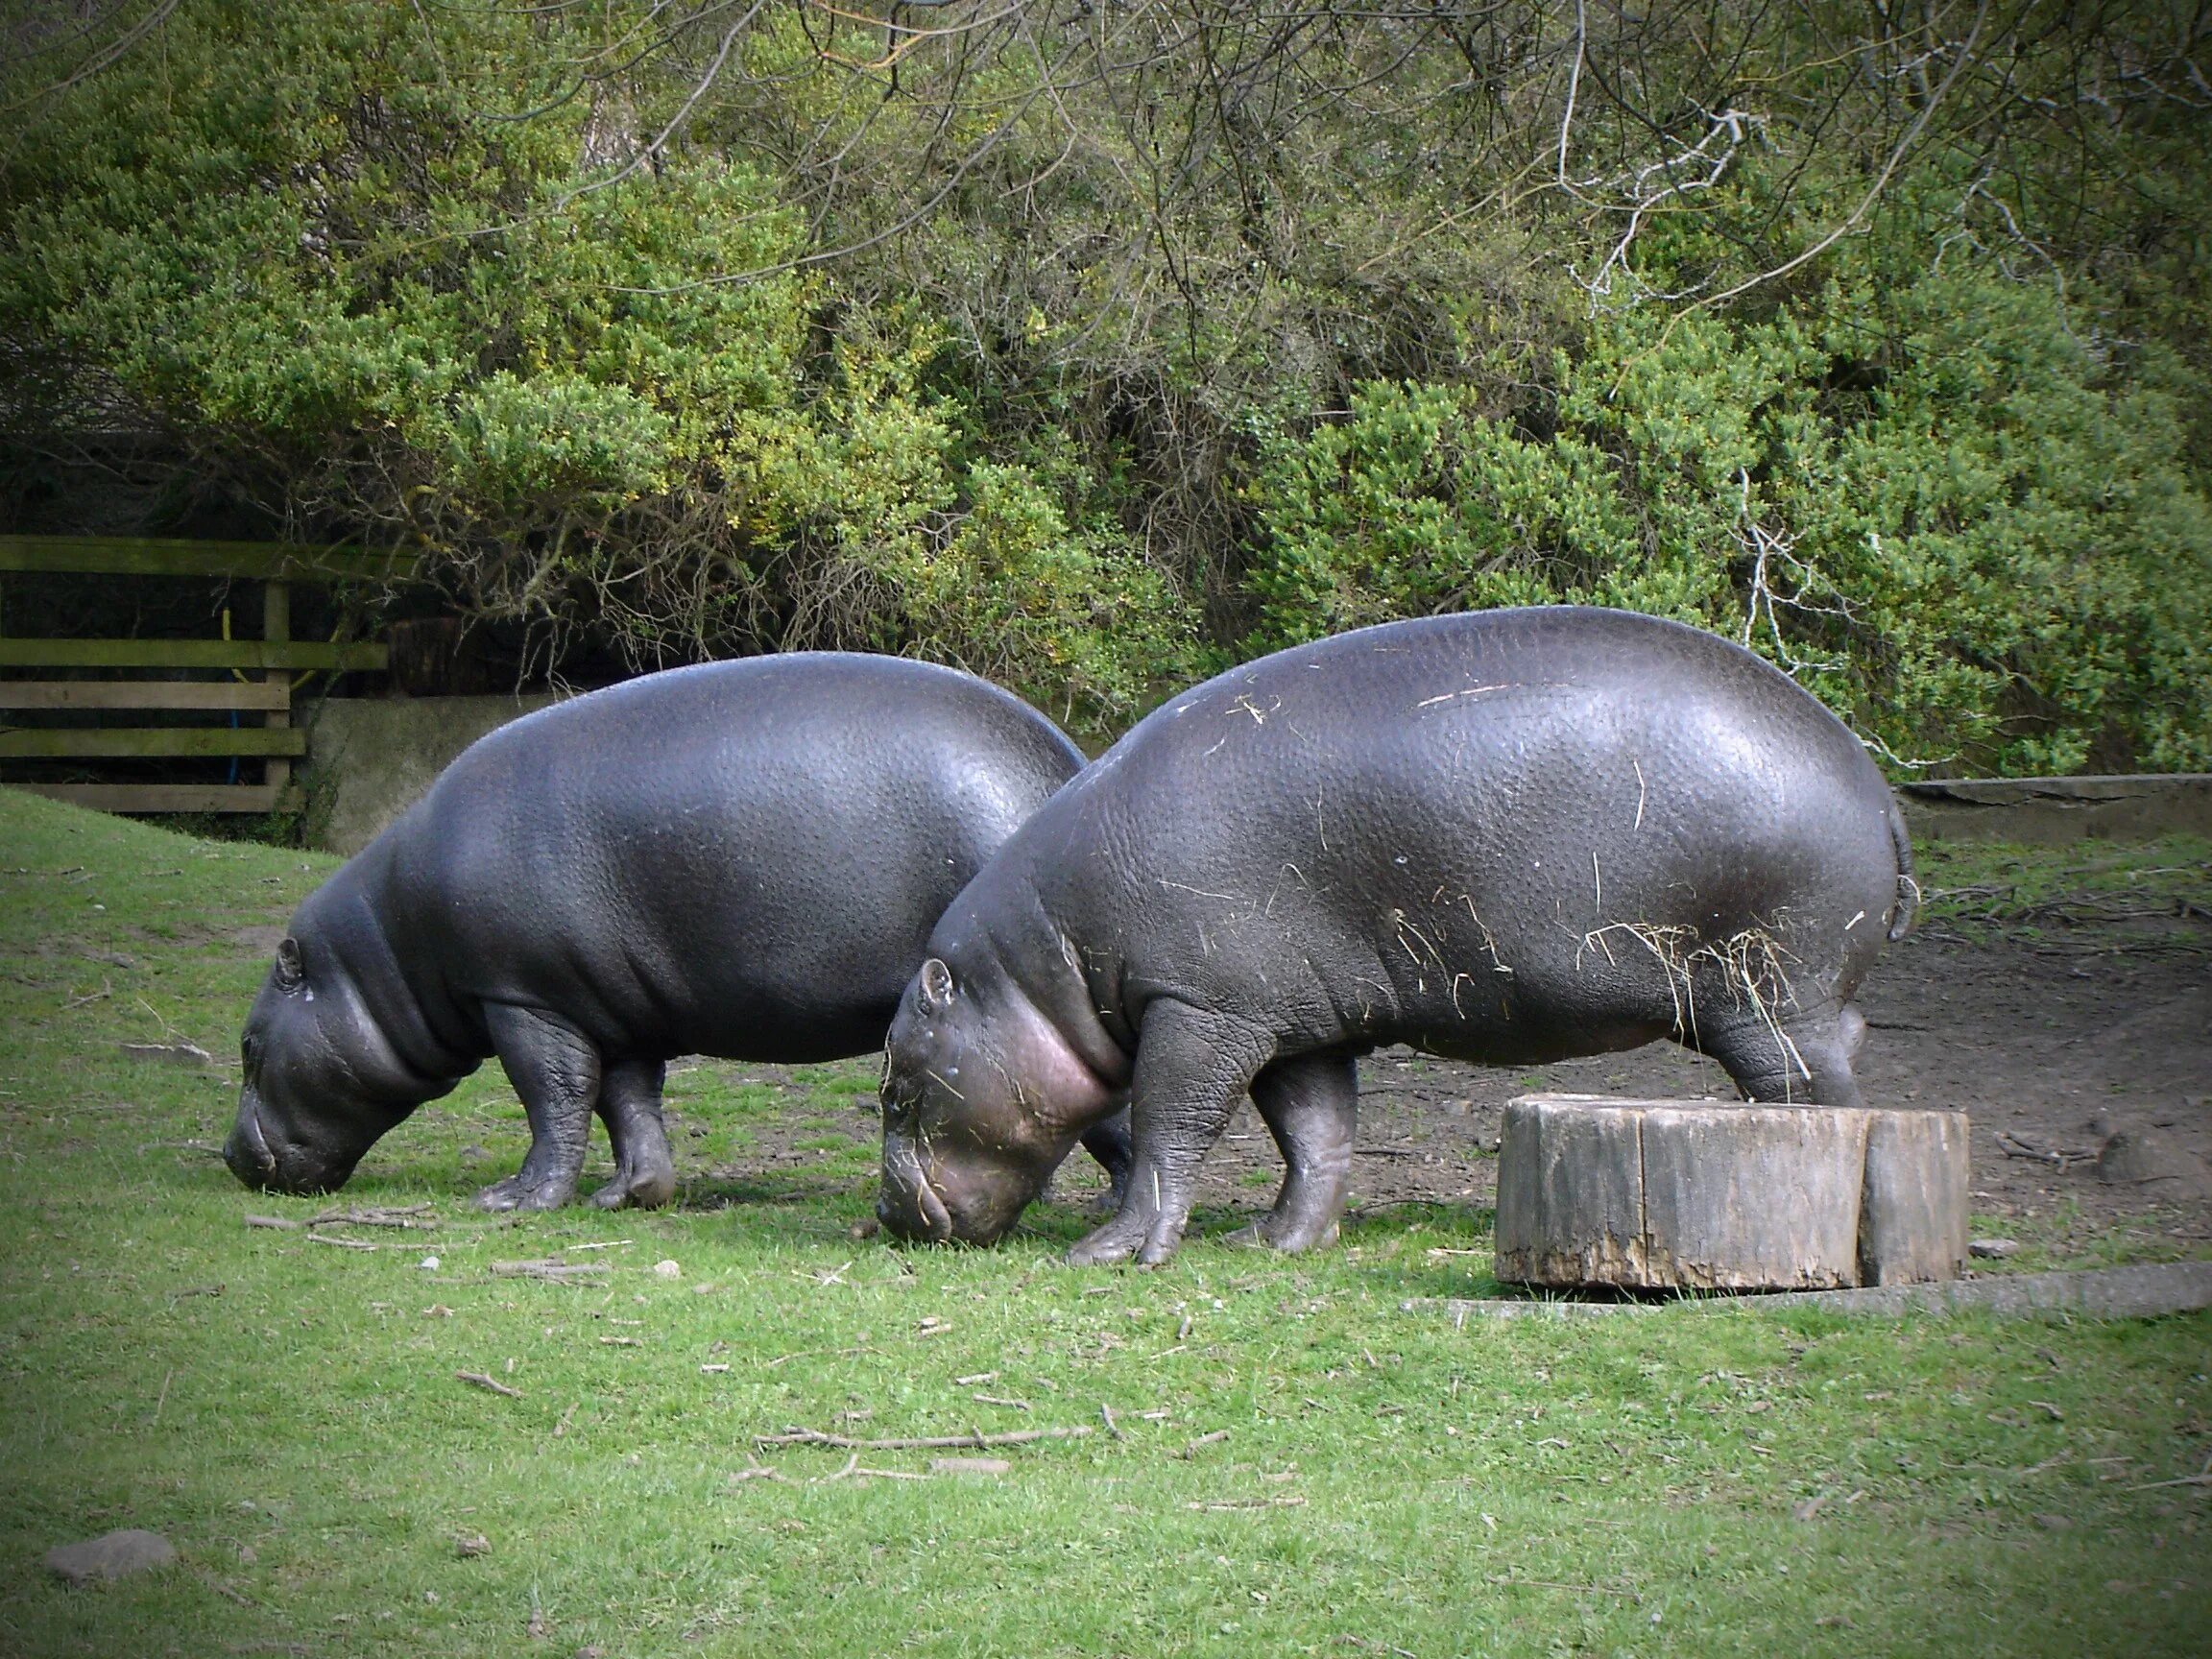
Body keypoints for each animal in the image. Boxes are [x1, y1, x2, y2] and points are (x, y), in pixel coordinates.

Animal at [224, 654, 1132, 1212]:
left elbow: (554, 1098)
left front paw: (512, 1201)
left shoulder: (522, 998)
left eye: (248, 1045)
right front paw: (629, 1196)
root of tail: (1069, 759)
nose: (229, 1157)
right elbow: (629, 1105)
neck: (386, 953)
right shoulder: (612, 1007)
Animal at [879, 606, 1919, 1264]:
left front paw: (1111, 1255)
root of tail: (1876, 784)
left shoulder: (1202, 1009)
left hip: (1770, 991)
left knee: (1814, 1094)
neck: (1038, 973)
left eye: (895, 1085)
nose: (888, 1215)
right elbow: (1317, 1134)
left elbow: (1170, 1125)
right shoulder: (1290, 1016)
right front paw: (1275, 1244)